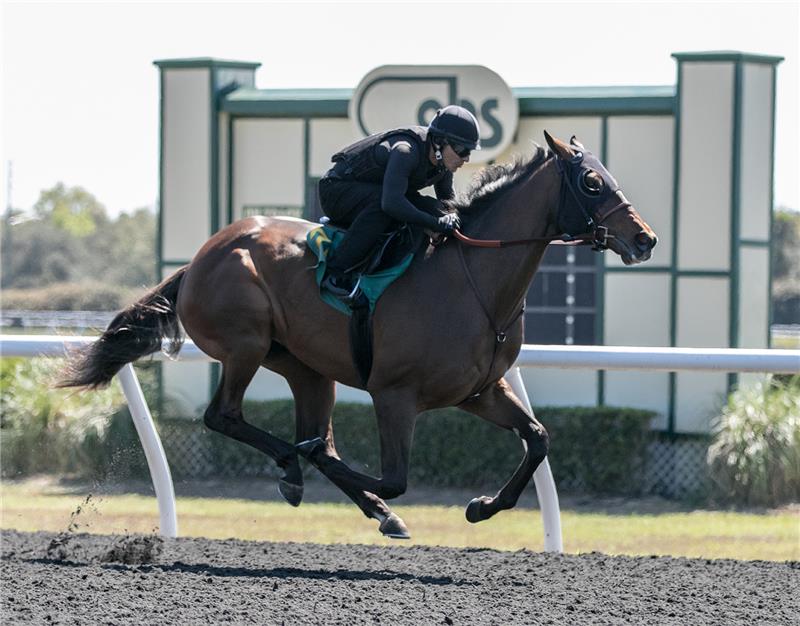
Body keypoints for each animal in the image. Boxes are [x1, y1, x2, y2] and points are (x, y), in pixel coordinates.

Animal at [57, 130, 656, 536]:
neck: (473, 280)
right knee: (225, 416)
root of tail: (201, 258)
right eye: (592, 182)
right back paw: (301, 468)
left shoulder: (480, 391)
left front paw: (481, 506)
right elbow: (394, 477)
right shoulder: (394, 394)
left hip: (304, 367)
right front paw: (329, 472)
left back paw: (344, 494)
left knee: (310, 429)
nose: (644, 238)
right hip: (246, 345)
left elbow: (538, 439)